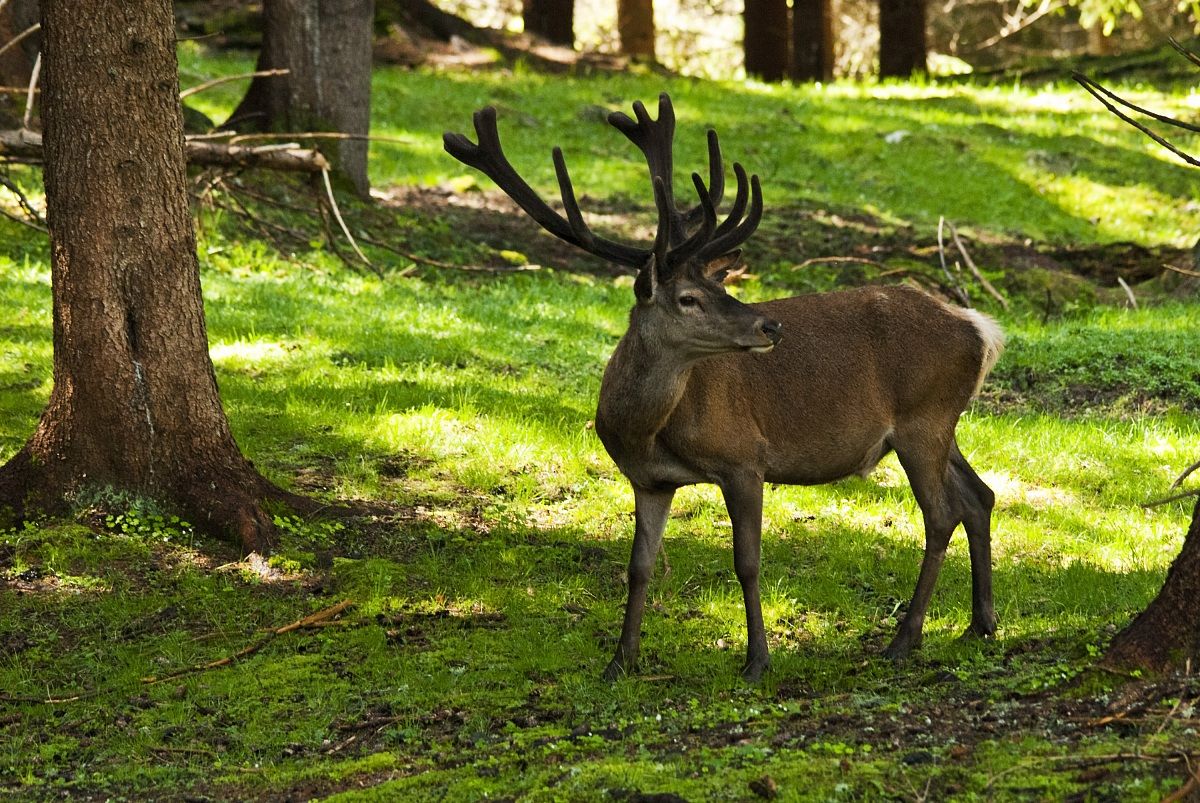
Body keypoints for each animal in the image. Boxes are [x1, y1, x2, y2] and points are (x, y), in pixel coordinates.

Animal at [444, 94, 1004, 682]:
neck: (646, 431)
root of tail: (981, 330)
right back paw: (980, 623)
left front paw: (757, 659)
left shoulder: (744, 460)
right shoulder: (648, 481)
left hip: (924, 419)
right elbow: (639, 566)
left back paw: (904, 639)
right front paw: (621, 660)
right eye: (689, 297)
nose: (769, 326)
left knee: (941, 515)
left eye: (719, 286)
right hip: (941, 425)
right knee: (979, 496)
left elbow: (747, 562)